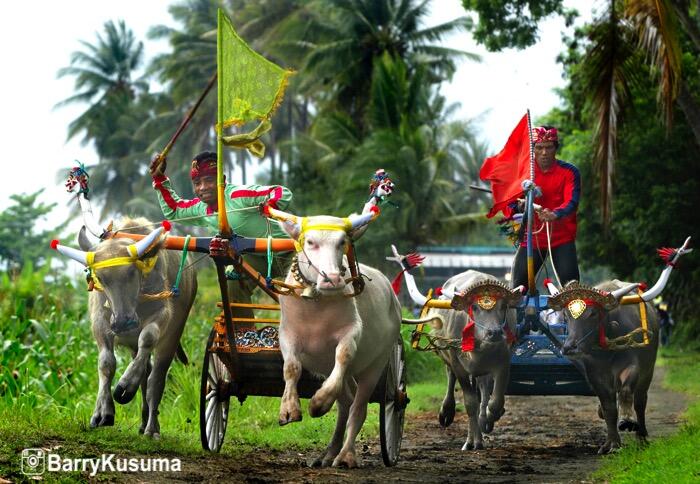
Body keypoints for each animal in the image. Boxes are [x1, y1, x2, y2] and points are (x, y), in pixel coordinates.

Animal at [51, 219, 197, 438]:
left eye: (130, 272)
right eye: (100, 277)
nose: (123, 322)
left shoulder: (162, 314)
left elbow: (148, 338)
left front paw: (125, 387)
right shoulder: (100, 321)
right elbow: (106, 363)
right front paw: (103, 413)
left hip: (173, 336)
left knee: (156, 378)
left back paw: (151, 427)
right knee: (145, 370)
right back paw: (141, 421)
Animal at [266, 206, 402, 466]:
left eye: (342, 242)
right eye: (310, 242)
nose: (333, 279)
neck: (317, 304)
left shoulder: (352, 331)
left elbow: (344, 354)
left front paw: (319, 402)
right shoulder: (287, 334)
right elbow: (291, 367)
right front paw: (288, 409)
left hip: (378, 363)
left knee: (357, 408)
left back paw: (346, 454)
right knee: (346, 401)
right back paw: (328, 453)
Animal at [392, 248, 524, 452]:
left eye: (503, 306)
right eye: (474, 307)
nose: (494, 333)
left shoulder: (503, 361)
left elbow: (494, 402)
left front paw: (490, 417)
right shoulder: (458, 363)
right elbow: (470, 403)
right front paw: (471, 441)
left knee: (483, 390)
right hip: (447, 355)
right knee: (451, 377)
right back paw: (448, 413)